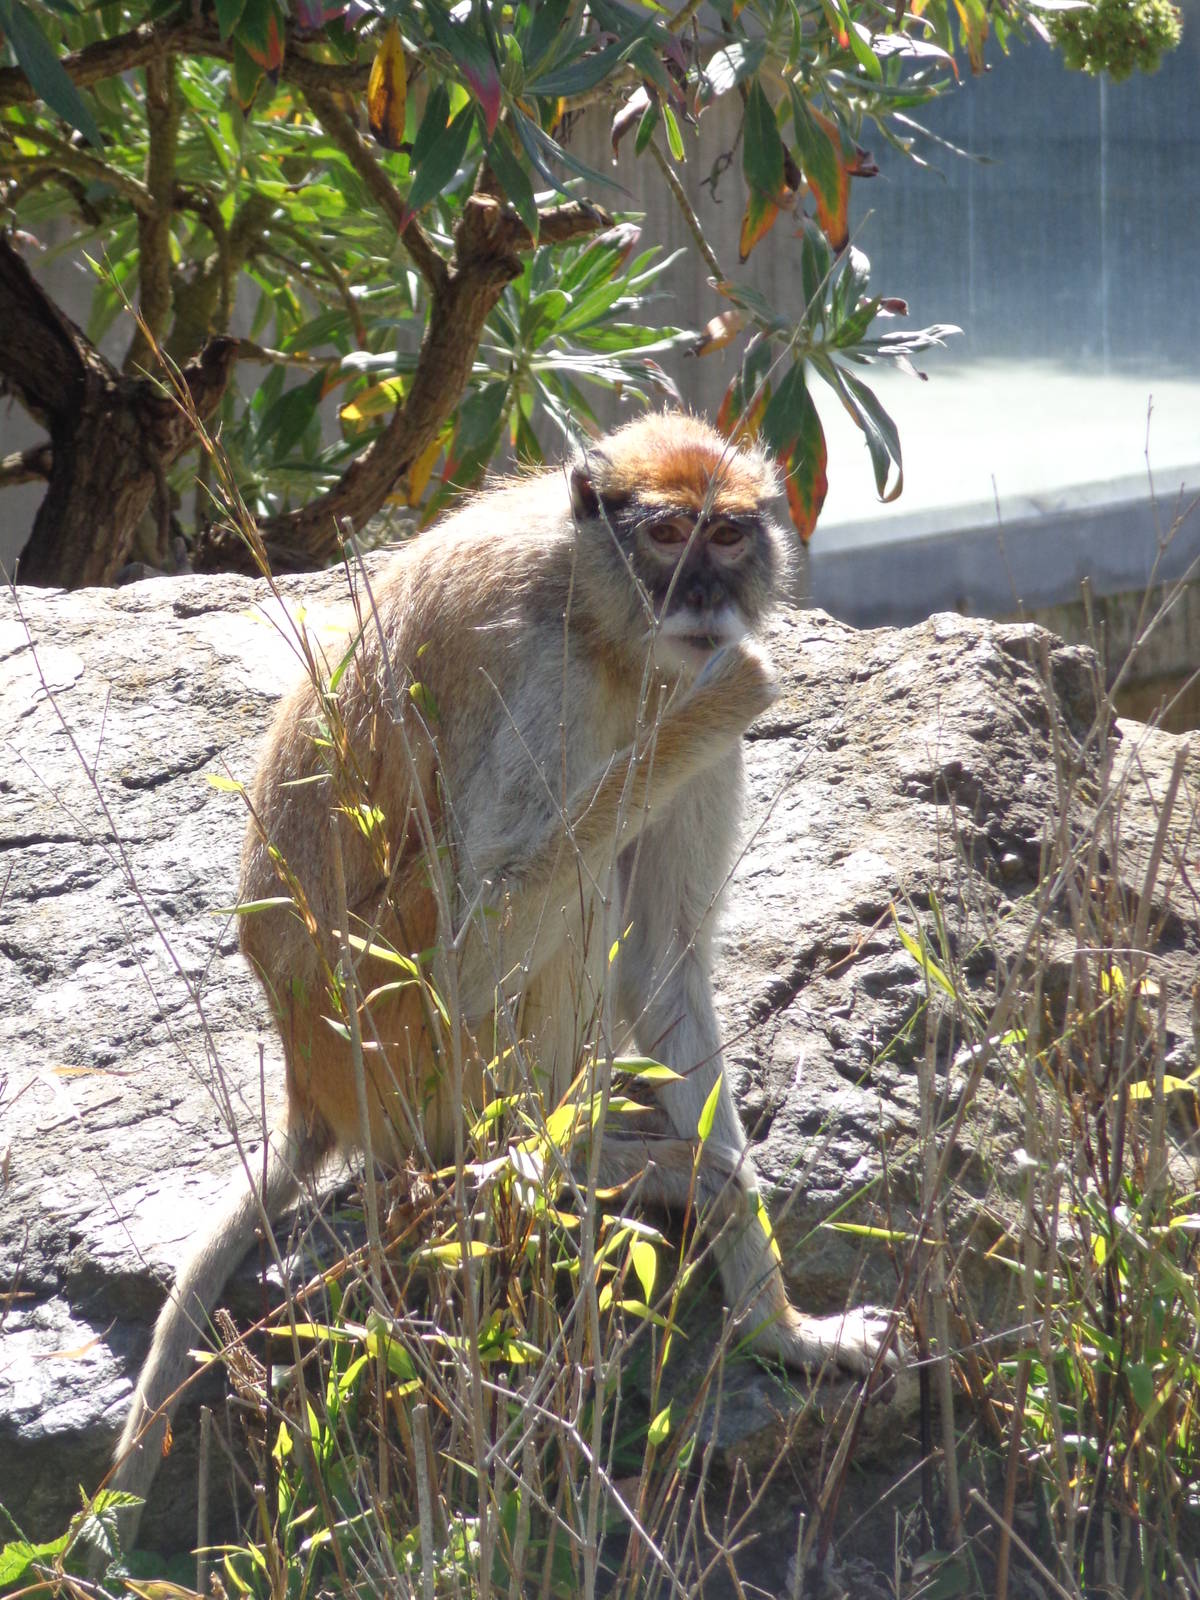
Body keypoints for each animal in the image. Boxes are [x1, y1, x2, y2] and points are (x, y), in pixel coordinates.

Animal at [108, 411, 897, 1535]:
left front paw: (782, 1327)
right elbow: (478, 947)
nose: (706, 595)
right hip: (395, 1043)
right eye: (667, 534)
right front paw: (739, 683)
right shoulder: (546, 678)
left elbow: (664, 964)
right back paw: (542, 1159)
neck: (601, 614)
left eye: (730, 535)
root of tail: (308, 1079)